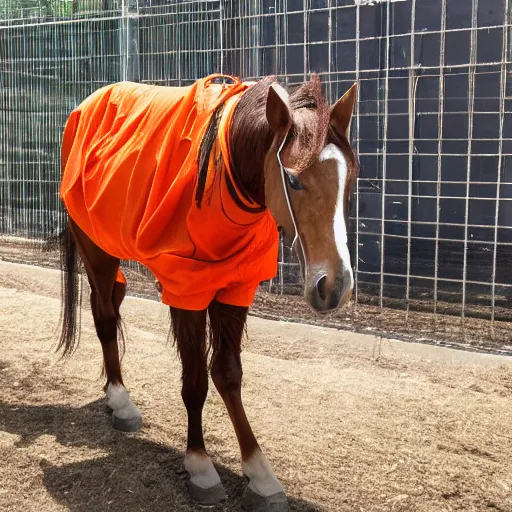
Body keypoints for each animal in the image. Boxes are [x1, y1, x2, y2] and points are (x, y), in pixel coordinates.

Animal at [57, 73, 360, 512]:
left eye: (350, 177)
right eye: (292, 179)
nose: (334, 286)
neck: (223, 172)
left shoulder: (236, 288)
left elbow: (228, 375)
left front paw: (259, 474)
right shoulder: (188, 290)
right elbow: (196, 380)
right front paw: (200, 465)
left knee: (112, 301)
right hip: (96, 249)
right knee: (104, 317)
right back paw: (120, 401)